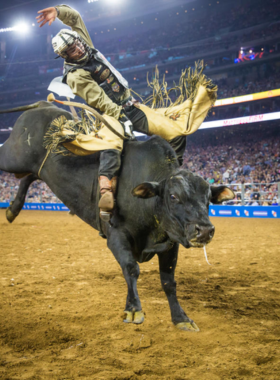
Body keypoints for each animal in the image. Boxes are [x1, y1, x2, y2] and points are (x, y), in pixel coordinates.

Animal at [0, 102, 234, 332]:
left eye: (208, 198)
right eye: (173, 196)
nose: (204, 230)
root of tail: (43, 105)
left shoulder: (170, 243)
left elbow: (168, 281)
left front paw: (181, 318)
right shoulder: (116, 237)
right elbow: (131, 269)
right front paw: (134, 309)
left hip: (32, 168)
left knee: (30, 176)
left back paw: (12, 210)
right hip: (12, 157)